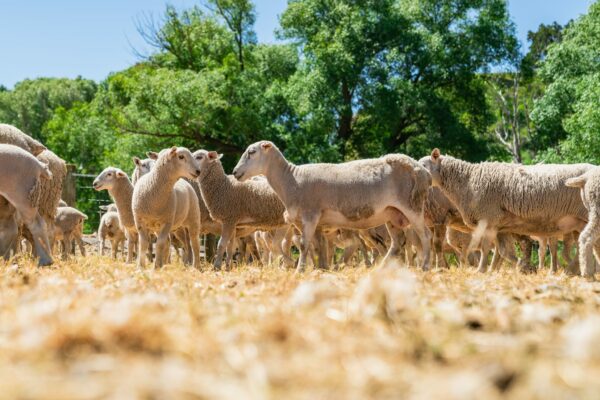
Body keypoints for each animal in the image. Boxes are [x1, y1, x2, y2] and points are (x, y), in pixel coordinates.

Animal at [231, 140, 432, 272]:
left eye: (251, 152)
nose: (234, 172)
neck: (291, 179)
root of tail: (422, 171)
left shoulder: (310, 215)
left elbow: (303, 245)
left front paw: (300, 270)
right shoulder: (313, 222)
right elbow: (318, 247)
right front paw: (321, 269)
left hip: (412, 206)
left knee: (425, 236)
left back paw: (425, 267)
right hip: (392, 213)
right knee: (397, 243)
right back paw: (381, 269)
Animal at [420, 148, 592, 274]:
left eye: (424, 165)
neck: (467, 180)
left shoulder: (488, 219)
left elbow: (485, 249)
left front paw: (481, 270)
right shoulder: (498, 226)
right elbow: (503, 251)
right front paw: (523, 266)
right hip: (579, 222)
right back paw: (573, 270)